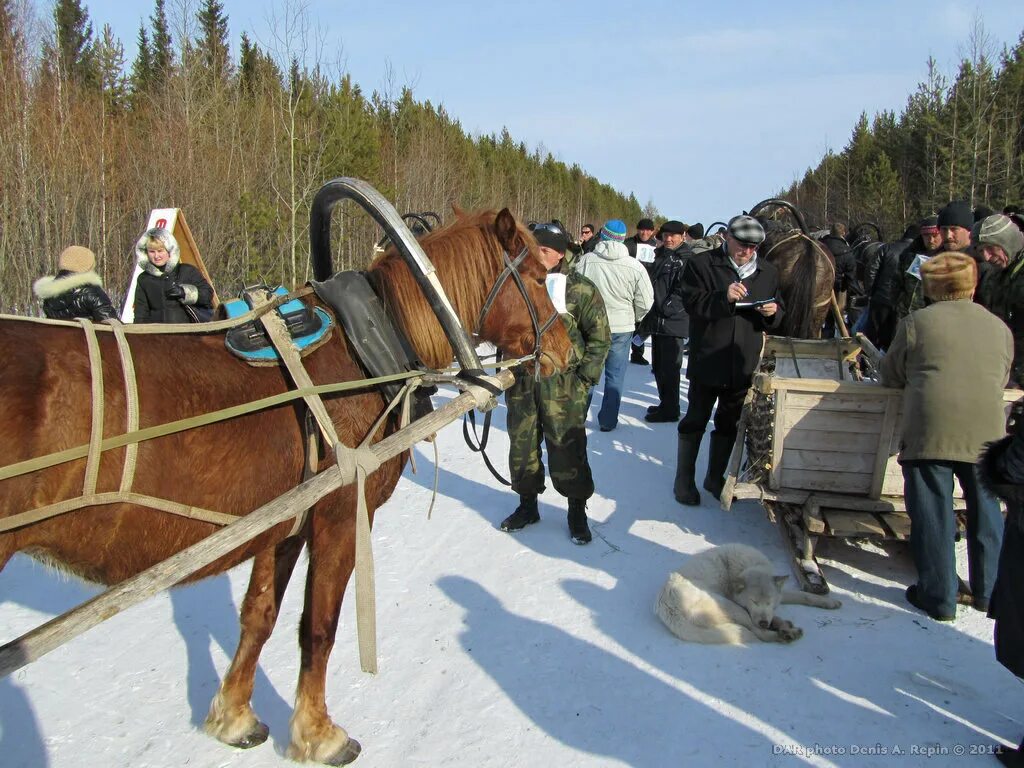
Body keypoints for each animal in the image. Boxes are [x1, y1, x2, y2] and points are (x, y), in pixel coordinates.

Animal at [0, 207, 573, 765]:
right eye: (537, 275)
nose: (564, 347)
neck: (370, 343)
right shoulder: (342, 514)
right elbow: (319, 627)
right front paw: (318, 734)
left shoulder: (284, 521)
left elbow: (259, 615)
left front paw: (234, 716)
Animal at [655, 544, 839, 647]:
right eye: (754, 601)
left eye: (769, 602)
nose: (764, 622)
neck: (748, 565)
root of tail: (668, 609)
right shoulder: (748, 609)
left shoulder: (777, 598)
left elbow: (804, 596)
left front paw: (830, 603)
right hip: (733, 608)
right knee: (757, 633)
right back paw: (785, 635)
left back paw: (783, 628)